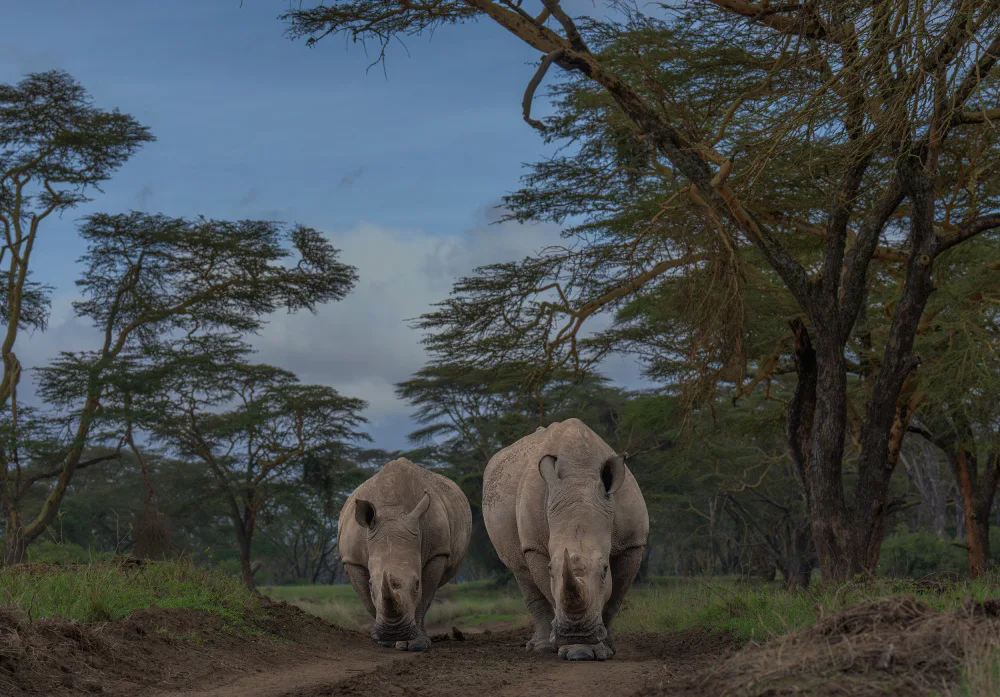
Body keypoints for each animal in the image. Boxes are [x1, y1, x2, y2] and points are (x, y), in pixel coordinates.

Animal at [339, 457, 472, 651]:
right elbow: (367, 600)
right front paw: (385, 641)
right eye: (371, 585)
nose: (394, 631)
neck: (392, 512)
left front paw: (416, 644)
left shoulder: (437, 553)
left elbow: (424, 598)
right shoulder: (352, 560)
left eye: (417, 584)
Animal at [483, 418, 649, 661]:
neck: (580, 475)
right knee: (520, 571)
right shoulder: (535, 547)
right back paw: (542, 647)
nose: (577, 634)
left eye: (605, 569)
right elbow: (552, 592)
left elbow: (614, 598)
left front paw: (603, 648)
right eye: (551, 568)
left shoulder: (632, 543)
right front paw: (578, 649)